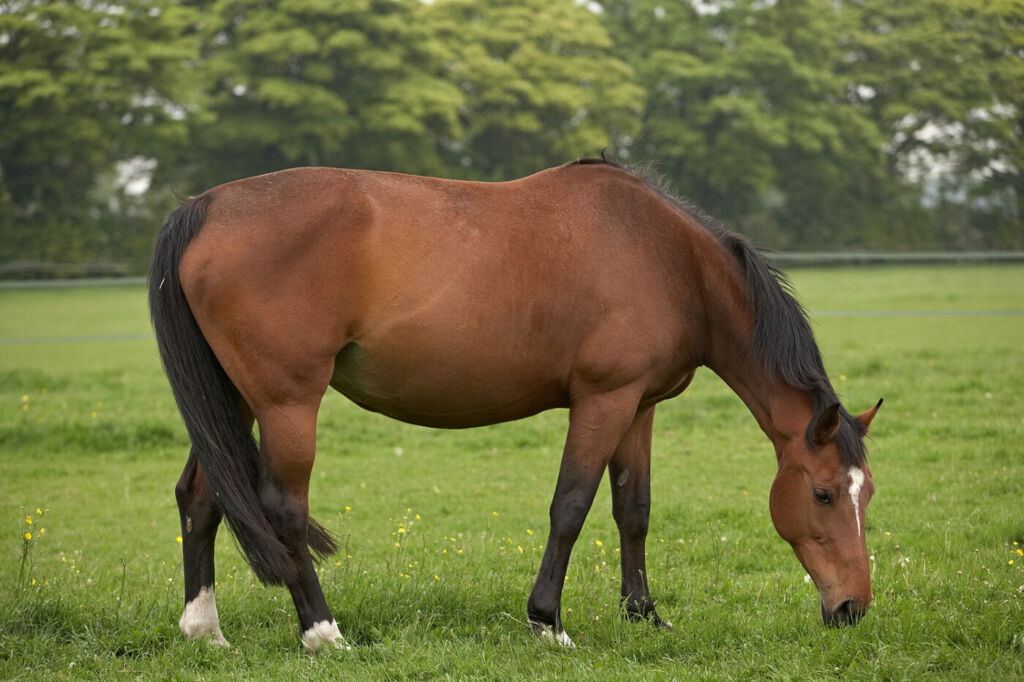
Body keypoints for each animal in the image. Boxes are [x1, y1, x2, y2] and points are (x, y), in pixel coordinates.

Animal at [149, 156, 881, 651]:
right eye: (822, 494)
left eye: (865, 494)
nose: (853, 608)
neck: (666, 259)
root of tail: (205, 207)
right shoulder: (602, 401)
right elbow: (571, 507)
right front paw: (547, 621)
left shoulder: (639, 407)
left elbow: (633, 511)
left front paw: (643, 613)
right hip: (286, 403)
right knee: (282, 509)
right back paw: (323, 632)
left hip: (234, 400)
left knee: (201, 497)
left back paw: (204, 630)